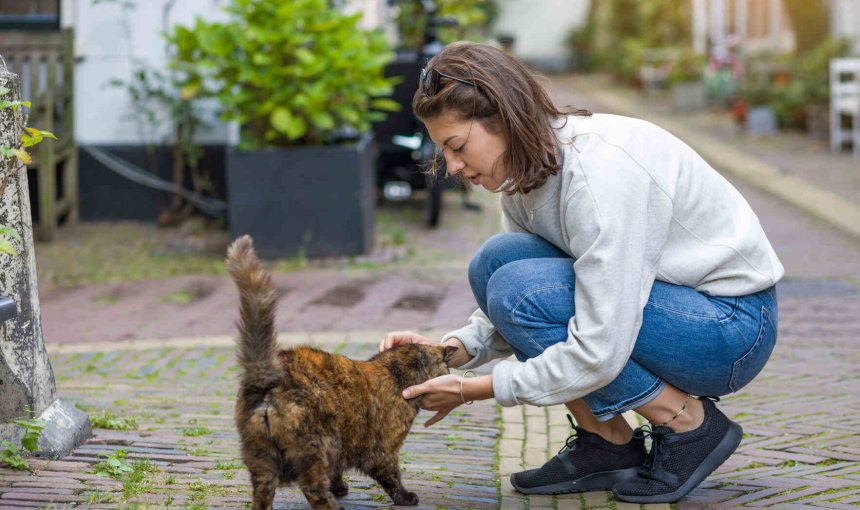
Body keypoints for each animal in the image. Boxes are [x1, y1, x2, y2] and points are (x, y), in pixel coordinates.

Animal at [227, 236, 456, 510]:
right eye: (446, 367)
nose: (452, 369)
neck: (396, 373)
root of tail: (268, 378)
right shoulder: (384, 450)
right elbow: (391, 475)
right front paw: (405, 497)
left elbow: (337, 471)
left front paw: (339, 487)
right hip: (318, 446)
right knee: (313, 488)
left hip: (261, 459)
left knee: (262, 495)